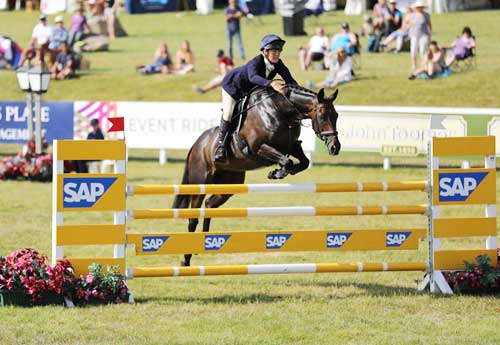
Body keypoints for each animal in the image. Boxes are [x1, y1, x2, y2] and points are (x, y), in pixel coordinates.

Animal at [172, 84, 340, 266]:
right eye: (322, 115)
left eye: (336, 115)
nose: (335, 147)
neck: (281, 112)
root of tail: (197, 144)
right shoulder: (259, 148)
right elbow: (287, 160)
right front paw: (277, 172)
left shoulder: (292, 145)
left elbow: (303, 162)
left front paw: (277, 172)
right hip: (200, 182)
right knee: (193, 218)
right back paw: (186, 259)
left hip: (230, 184)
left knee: (209, 204)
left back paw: (204, 239)